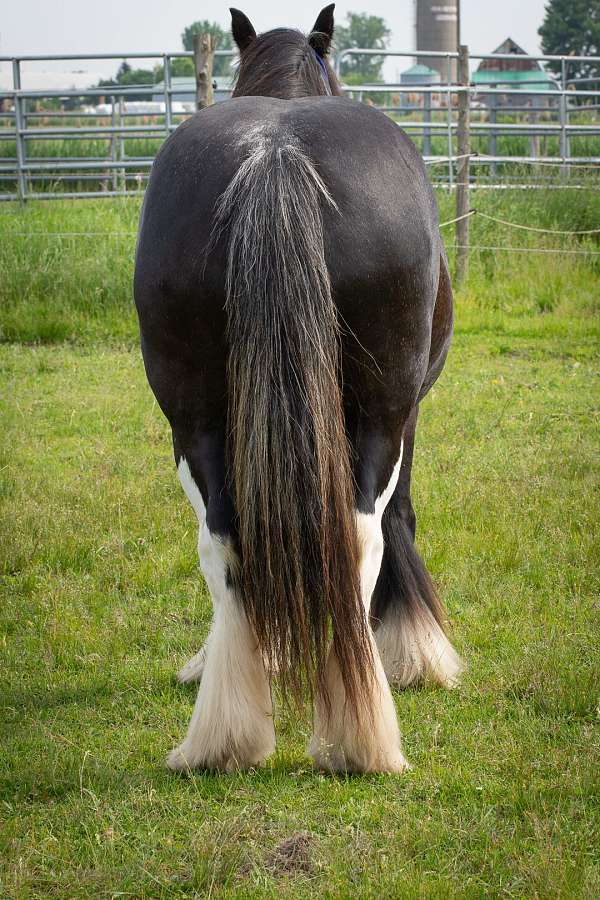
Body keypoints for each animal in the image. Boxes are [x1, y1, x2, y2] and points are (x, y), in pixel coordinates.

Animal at [134, 3, 462, 772]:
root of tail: (274, 154)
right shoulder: (409, 414)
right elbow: (402, 516)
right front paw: (416, 651)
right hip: (381, 411)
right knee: (362, 530)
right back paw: (358, 736)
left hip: (192, 416)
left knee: (222, 537)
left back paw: (222, 736)